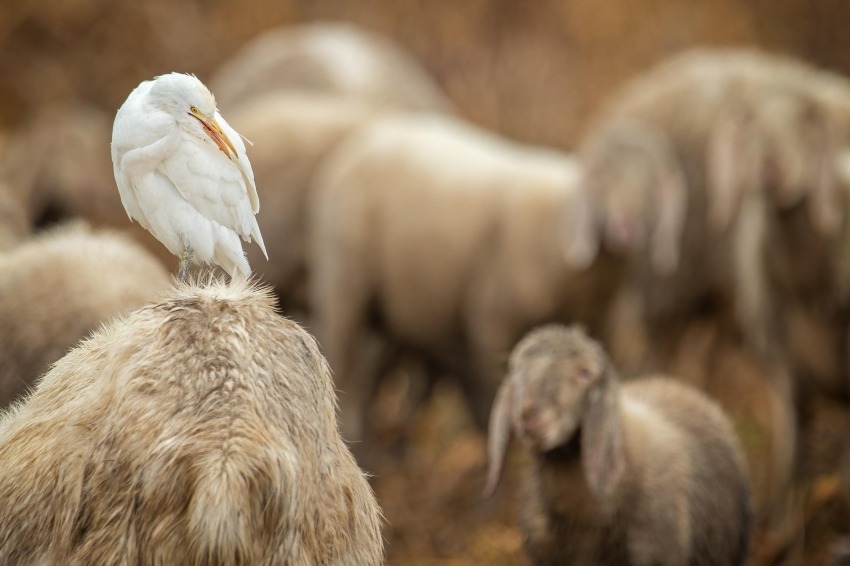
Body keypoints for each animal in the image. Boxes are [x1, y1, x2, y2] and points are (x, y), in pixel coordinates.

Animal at [308, 113, 620, 452]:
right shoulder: (491, 322)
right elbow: (493, 391)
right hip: (346, 281)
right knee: (347, 364)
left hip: (392, 312)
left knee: (371, 376)